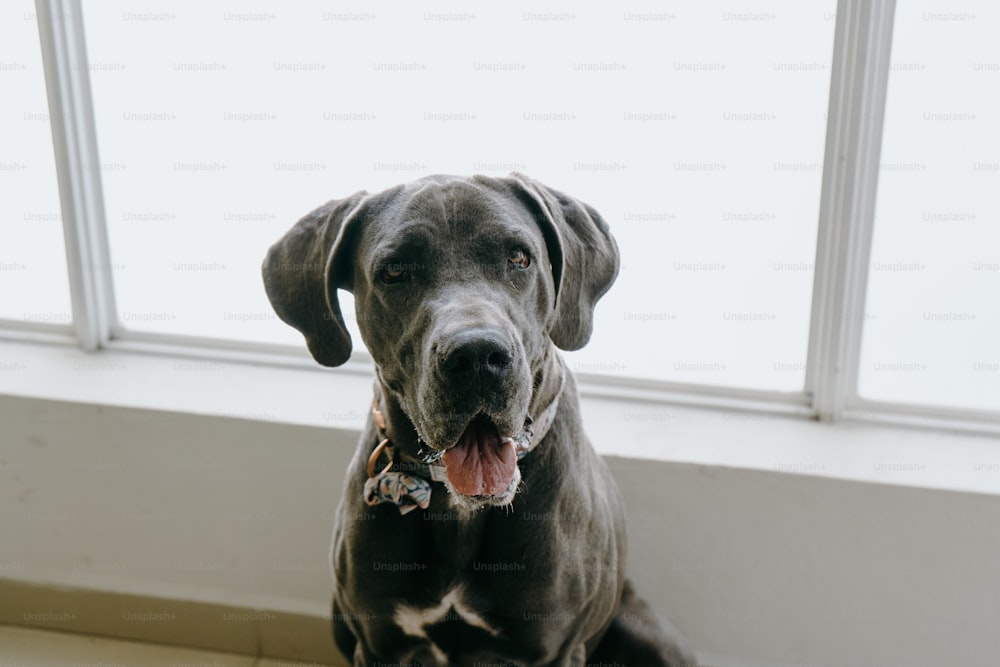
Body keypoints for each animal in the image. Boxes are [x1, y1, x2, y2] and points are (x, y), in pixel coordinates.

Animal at [262, 174, 692, 667]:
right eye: (394, 270)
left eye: (518, 257)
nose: (477, 356)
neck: (459, 511)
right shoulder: (378, 645)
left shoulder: (555, 650)